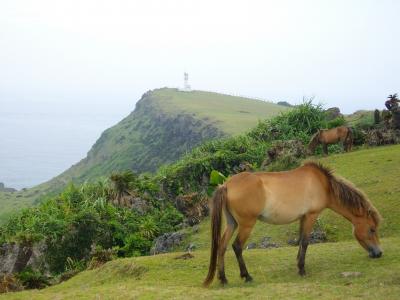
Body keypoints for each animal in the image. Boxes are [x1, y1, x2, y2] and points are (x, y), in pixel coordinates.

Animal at [205, 163, 382, 288]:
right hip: (246, 225)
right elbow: (305, 241)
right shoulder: (311, 216)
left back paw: (223, 279)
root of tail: (226, 185)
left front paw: (298, 263)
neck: (323, 184)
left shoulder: (303, 217)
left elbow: (300, 241)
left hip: (232, 223)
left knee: (222, 246)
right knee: (237, 246)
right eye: (372, 229)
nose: (379, 253)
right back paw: (246, 276)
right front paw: (302, 270)